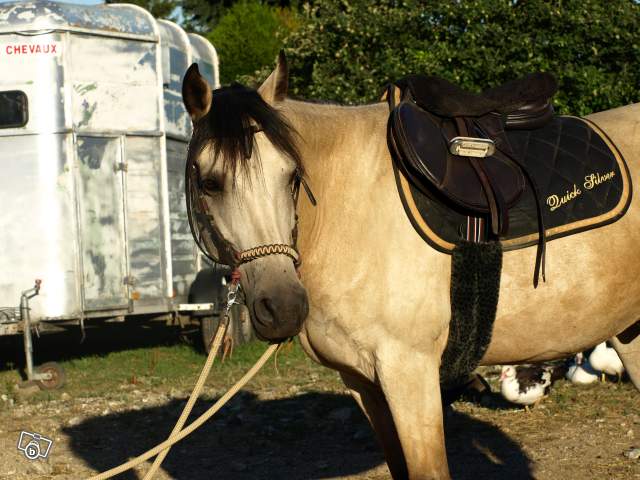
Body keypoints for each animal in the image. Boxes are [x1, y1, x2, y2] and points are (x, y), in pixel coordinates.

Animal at [180, 53, 640, 480]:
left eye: (293, 175)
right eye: (209, 182)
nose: (284, 307)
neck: (349, 208)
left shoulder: (409, 373)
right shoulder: (363, 383)